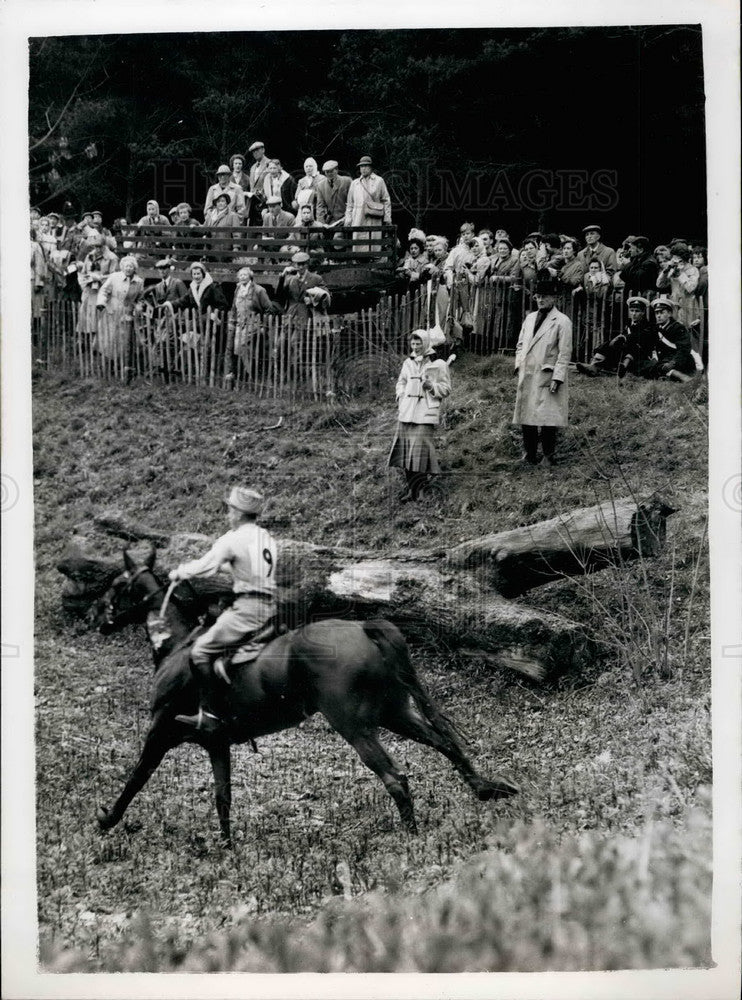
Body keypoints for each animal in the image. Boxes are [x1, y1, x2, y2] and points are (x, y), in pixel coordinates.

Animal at [93, 547, 518, 847]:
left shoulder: (160, 733)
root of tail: (362, 627)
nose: (98, 620)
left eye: (115, 586)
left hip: (355, 726)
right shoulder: (216, 743)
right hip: (394, 713)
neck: (179, 646)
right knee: (444, 743)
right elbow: (222, 796)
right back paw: (487, 789)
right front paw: (227, 846)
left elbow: (135, 780)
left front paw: (106, 820)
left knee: (396, 777)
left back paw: (412, 834)